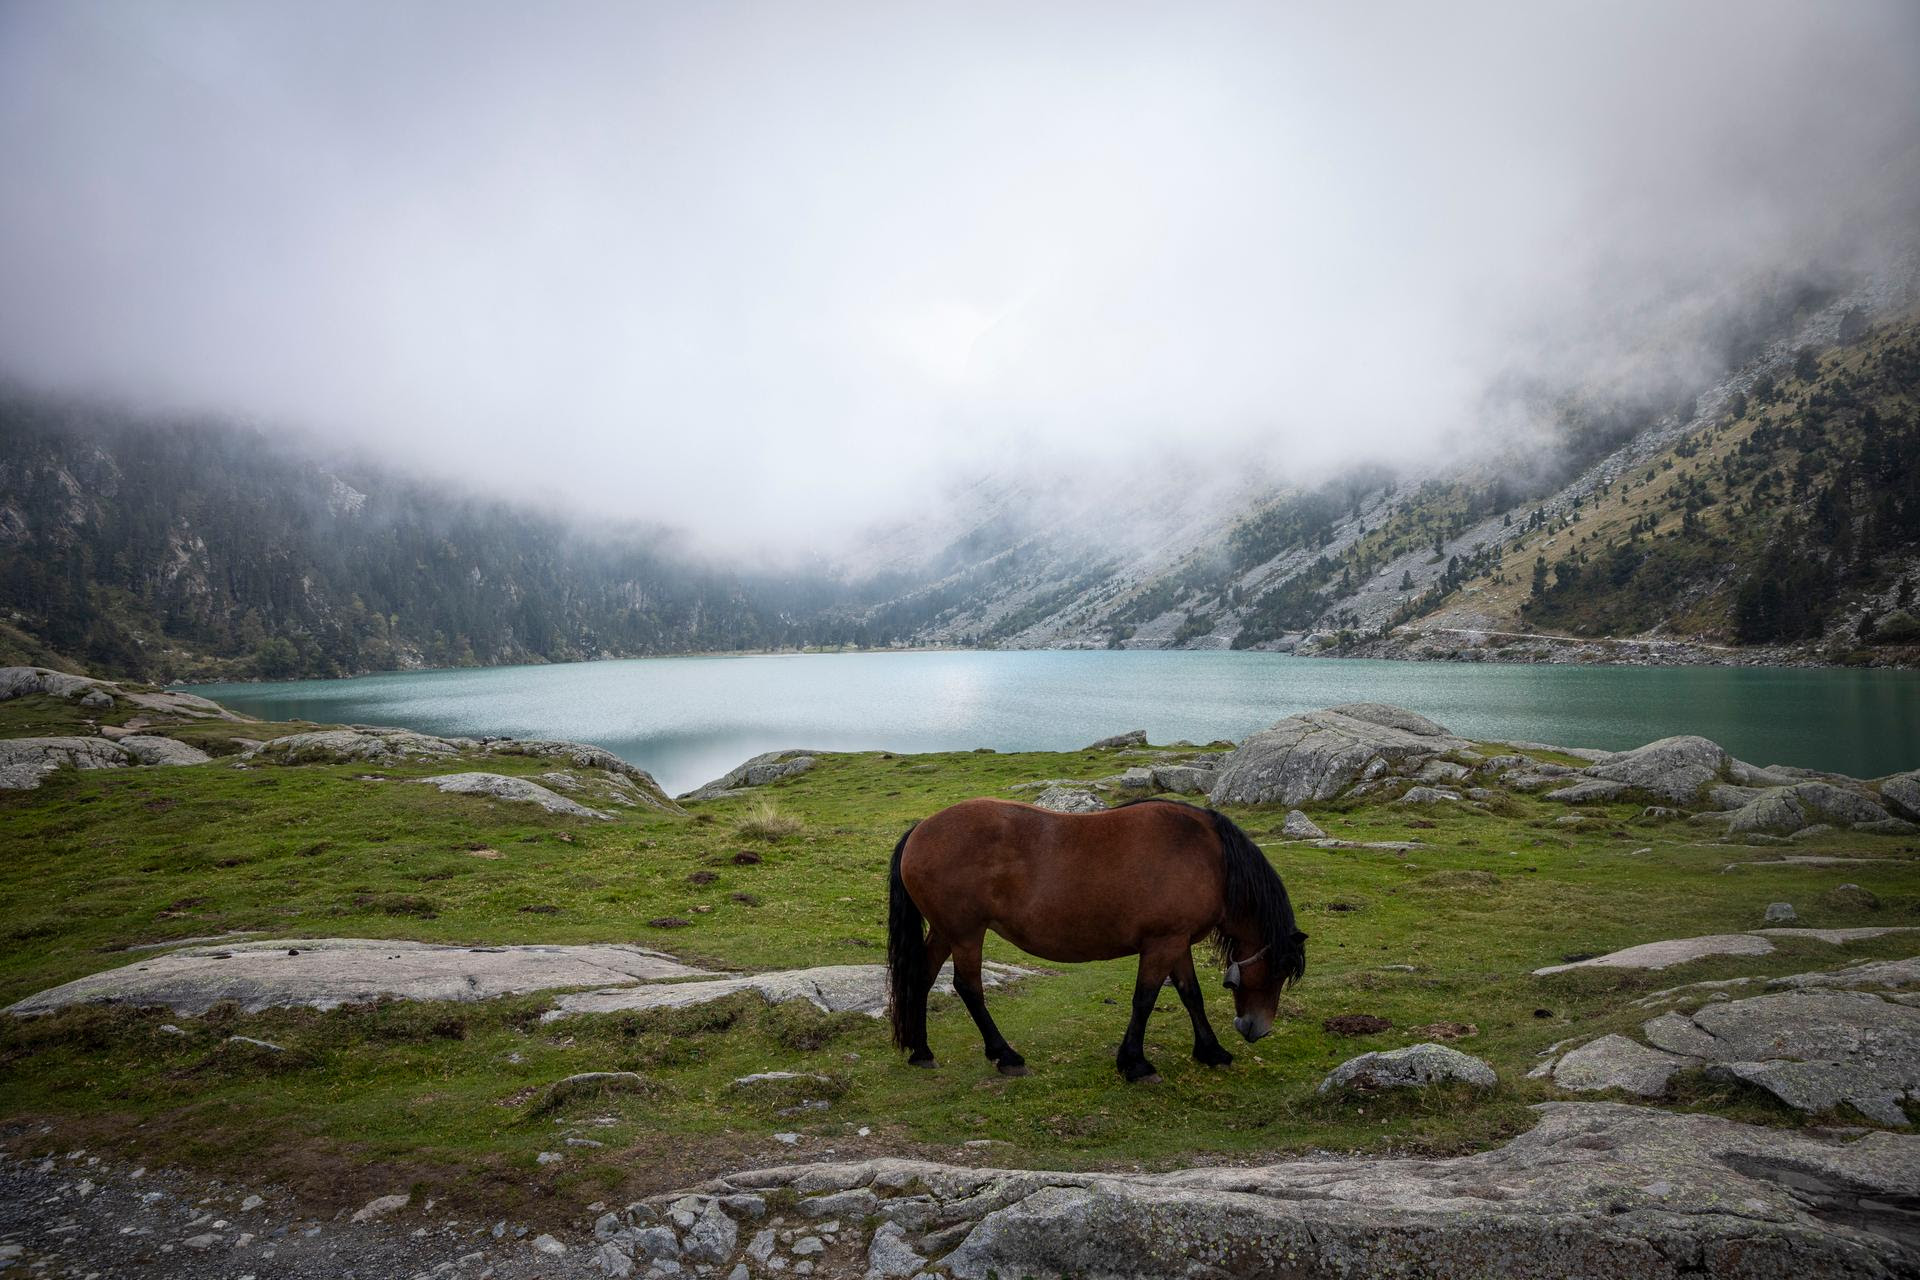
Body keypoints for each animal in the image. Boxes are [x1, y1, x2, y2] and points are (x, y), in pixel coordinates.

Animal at [883, 802, 1305, 1082]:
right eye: (1280, 970)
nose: (1257, 1028)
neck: (1209, 857)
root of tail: (919, 830)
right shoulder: (1163, 943)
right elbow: (1145, 999)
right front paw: (1135, 1063)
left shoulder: (1177, 942)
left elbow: (1191, 995)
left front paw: (1211, 1051)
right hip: (967, 935)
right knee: (968, 987)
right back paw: (1006, 1055)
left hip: (945, 932)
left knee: (922, 978)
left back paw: (921, 1051)